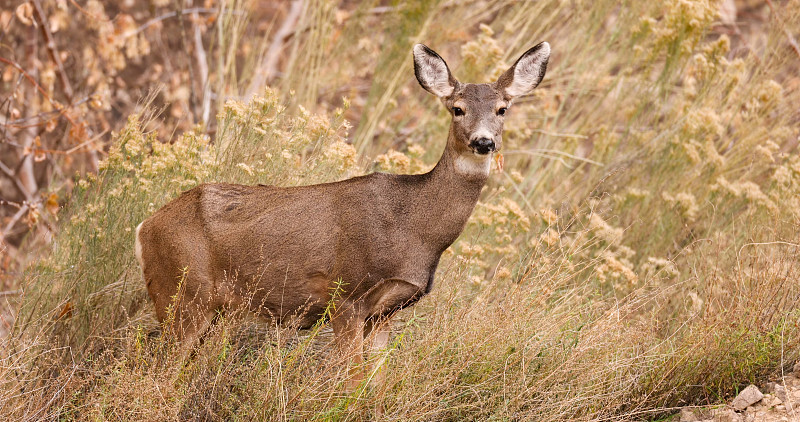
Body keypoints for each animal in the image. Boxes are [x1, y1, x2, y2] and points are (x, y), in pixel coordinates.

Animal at [138, 41, 552, 388]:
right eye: (457, 108)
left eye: (502, 109)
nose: (484, 142)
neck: (415, 230)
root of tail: (145, 228)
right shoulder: (346, 294)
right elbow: (350, 381)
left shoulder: (385, 313)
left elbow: (376, 385)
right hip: (182, 292)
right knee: (159, 373)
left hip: (213, 309)